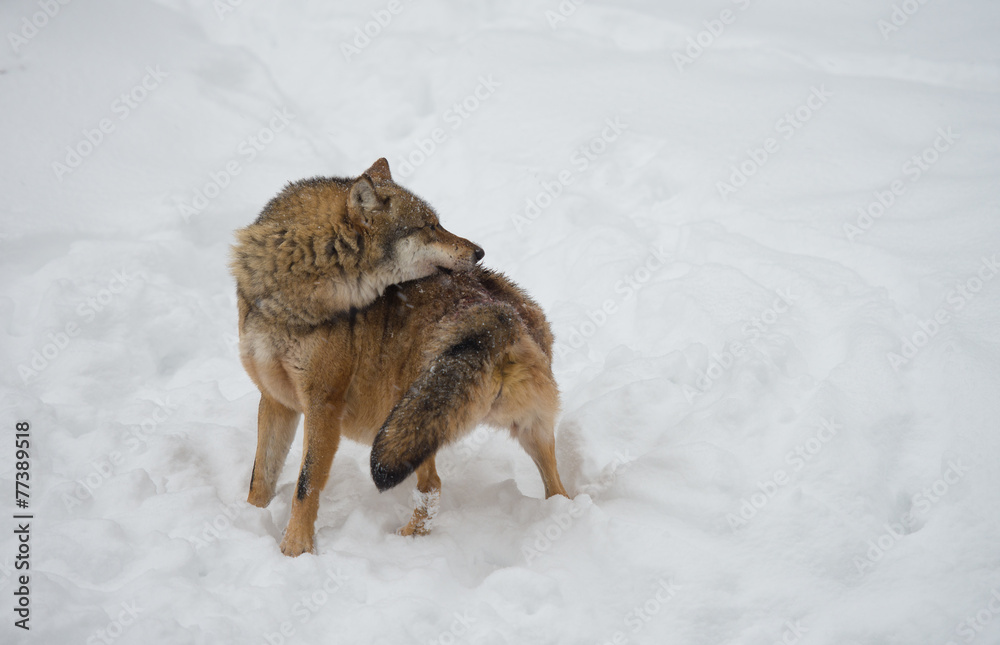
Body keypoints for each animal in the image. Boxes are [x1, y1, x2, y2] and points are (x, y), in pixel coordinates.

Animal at [230, 158, 569, 556]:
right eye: (430, 226)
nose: (480, 252)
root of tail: (498, 315)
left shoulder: (322, 405)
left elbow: (305, 485)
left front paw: (295, 550)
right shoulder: (275, 400)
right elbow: (261, 480)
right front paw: (250, 522)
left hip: (407, 426)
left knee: (433, 485)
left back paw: (403, 542)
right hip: (522, 429)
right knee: (557, 491)